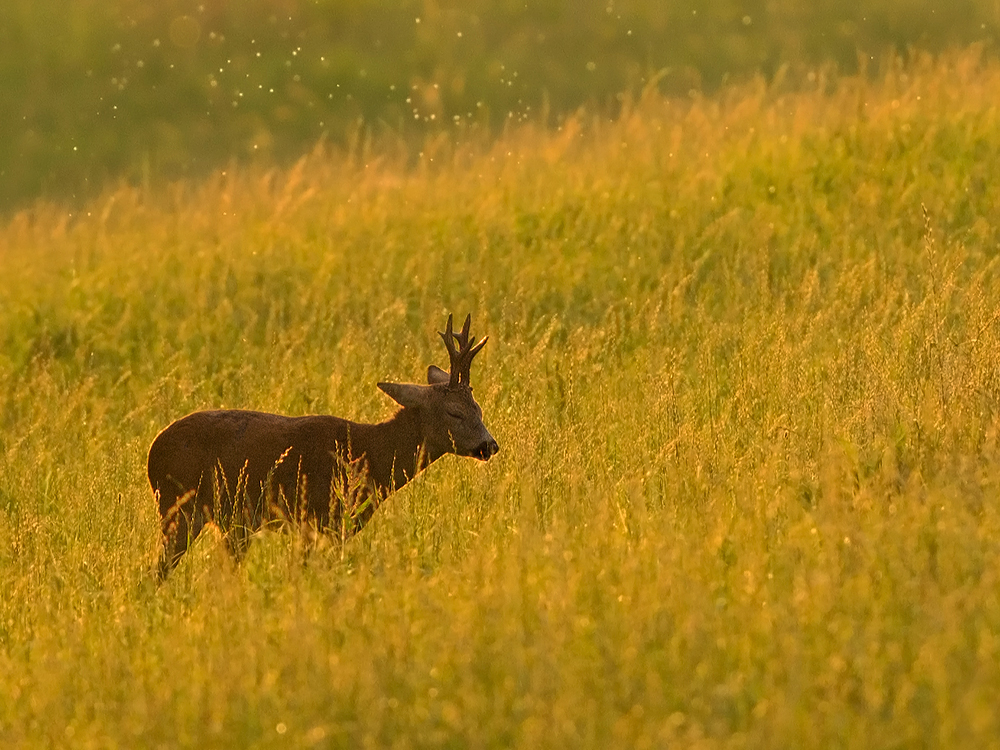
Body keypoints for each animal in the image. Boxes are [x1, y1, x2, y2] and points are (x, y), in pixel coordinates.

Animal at [146, 312, 498, 580]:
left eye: (479, 408)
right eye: (455, 412)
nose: (489, 445)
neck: (371, 456)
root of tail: (152, 453)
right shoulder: (321, 518)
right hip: (181, 507)